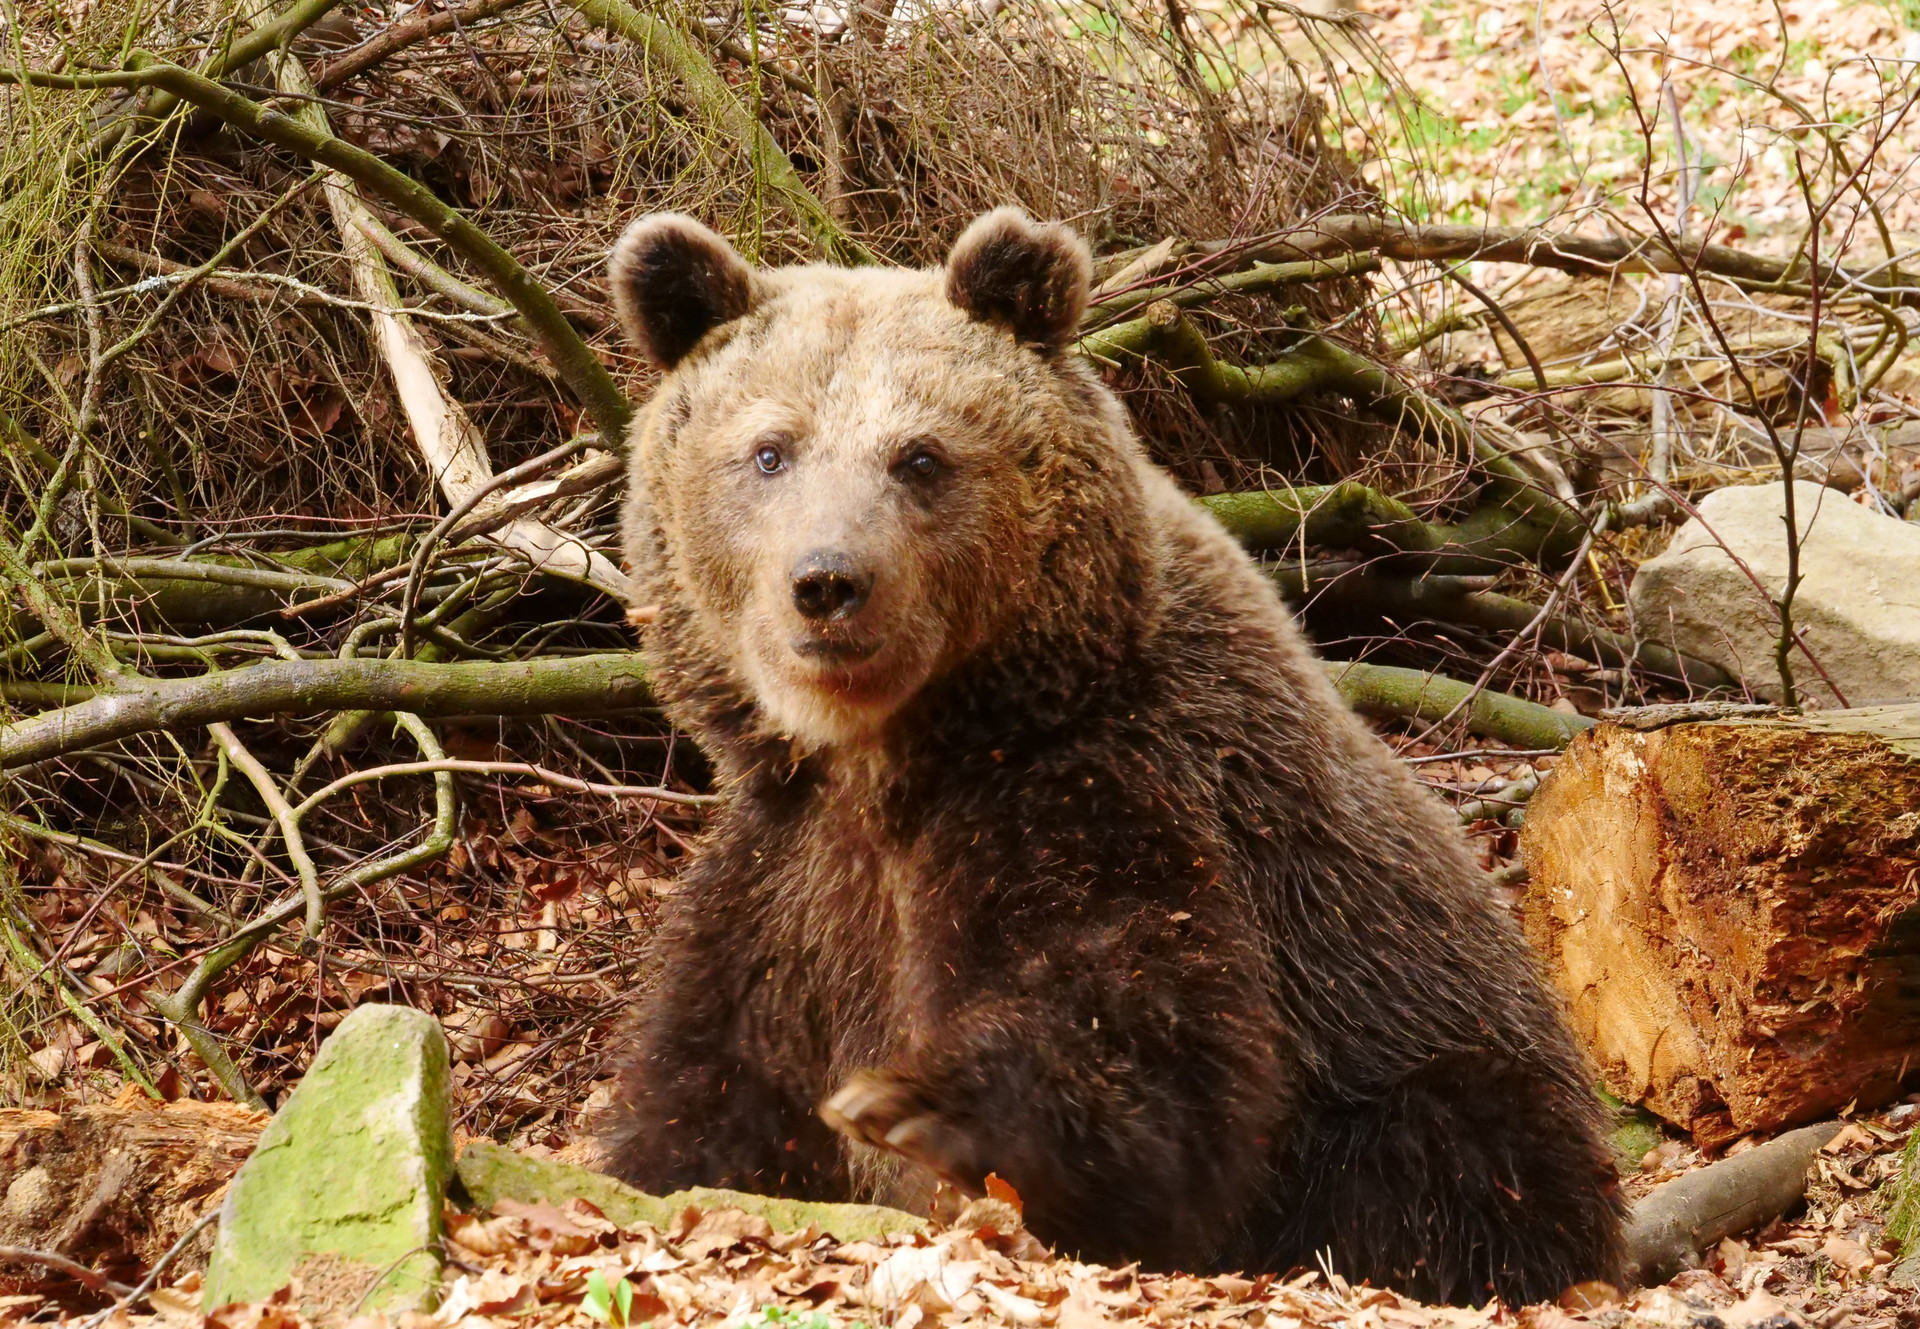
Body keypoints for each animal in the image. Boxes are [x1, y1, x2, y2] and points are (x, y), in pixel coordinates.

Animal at [595, 207, 1625, 1306]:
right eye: (769, 452)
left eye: (921, 456)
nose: (828, 582)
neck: (891, 753)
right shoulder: (783, 884)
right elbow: (701, 1103)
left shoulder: (1116, 786)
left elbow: (1156, 1046)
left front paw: (921, 1103)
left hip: (1442, 1073)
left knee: (1440, 1174)